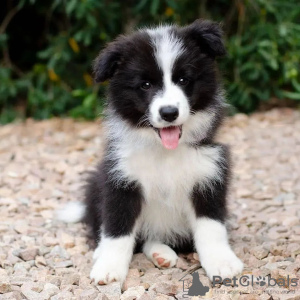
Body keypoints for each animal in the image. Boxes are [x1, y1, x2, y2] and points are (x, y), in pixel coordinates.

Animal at [57, 19, 243, 286]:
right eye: (145, 85)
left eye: (183, 80)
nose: (169, 113)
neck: (164, 152)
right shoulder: (121, 180)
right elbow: (117, 228)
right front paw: (109, 267)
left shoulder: (209, 173)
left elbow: (211, 226)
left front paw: (222, 262)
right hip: (95, 183)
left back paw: (161, 253)